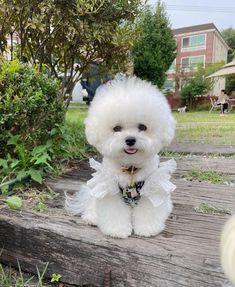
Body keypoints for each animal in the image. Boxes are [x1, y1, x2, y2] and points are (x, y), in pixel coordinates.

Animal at [64, 76, 176, 238]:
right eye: (116, 128)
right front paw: (117, 230)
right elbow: (114, 213)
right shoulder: (110, 188)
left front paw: (148, 228)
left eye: (142, 127)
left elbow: (148, 211)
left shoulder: (151, 187)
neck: (130, 169)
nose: (130, 140)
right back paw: (91, 218)